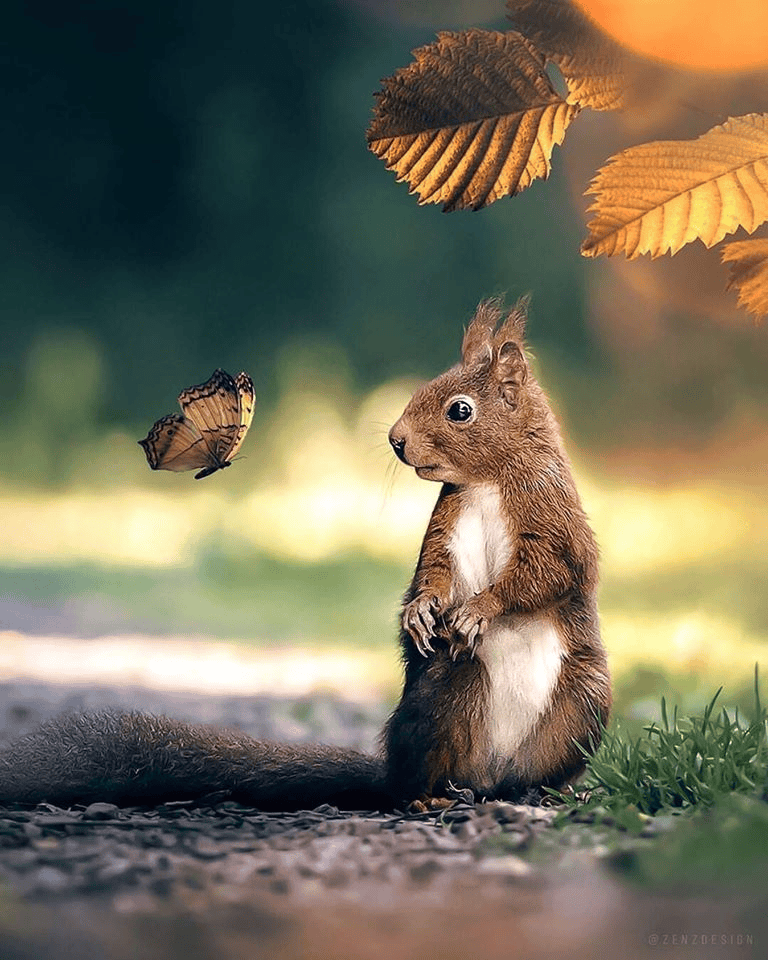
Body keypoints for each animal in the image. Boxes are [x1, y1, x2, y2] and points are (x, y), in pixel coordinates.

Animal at [0, 298, 609, 811]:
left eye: (460, 410)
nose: (396, 439)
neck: (486, 480)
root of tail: (488, 776)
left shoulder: (553, 516)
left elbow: (549, 572)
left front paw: (477, 608)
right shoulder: (446, 525)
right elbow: (434, 572)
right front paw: (420, 611)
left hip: (583, 704)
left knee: (536, 770)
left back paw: (548, 792)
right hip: (447, 692)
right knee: (417, 775)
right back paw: (428, 796)